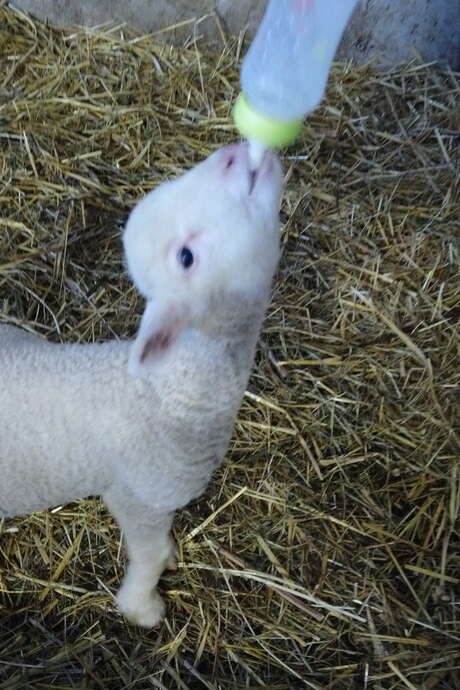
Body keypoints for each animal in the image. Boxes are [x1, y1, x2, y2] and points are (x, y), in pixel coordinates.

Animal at [0, 142, 282, 628]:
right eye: (186, 257)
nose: (235, 151)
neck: (169, 391)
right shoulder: (138, 498)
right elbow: (147, 555)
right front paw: (142, 606)